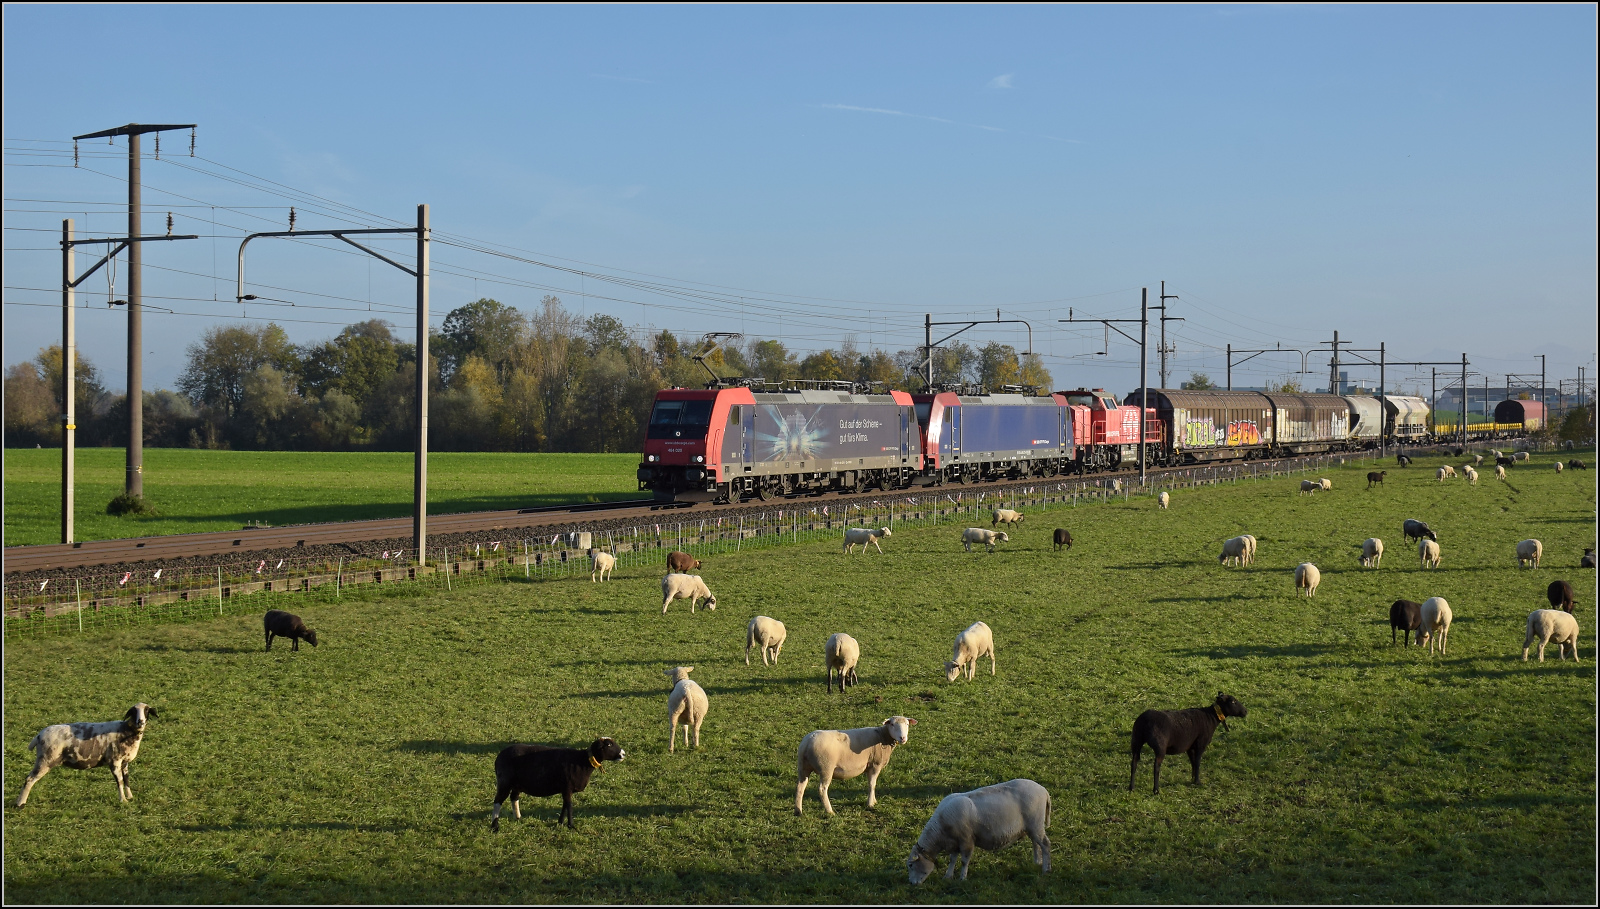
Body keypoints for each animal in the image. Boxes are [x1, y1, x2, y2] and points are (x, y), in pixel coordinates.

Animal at [15, 700, 157, 806]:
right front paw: (123, 800)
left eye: (146, 710)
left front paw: (130, 797)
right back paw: (20, 803)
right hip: (45, 759)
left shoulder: (124, 762)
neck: (126, 731)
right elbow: (120, 781)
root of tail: (39, 736)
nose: (140, 722)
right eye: (133, 711)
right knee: (29, 779)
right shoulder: (115, 760)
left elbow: (126, 779)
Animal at [486, 739, 624, 832]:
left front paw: (560, 823)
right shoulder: (567, 787)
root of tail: (499, 757)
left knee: (514, 798)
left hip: (517, 784)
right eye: (609, 744)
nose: (623, 754)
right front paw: (571, 825)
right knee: (498, 801)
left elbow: (565, 805)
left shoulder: (566, 789)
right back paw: (494, 826)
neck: (583, 761)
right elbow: (569, 806)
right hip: (505, 781)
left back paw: (518, 818)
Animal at [908, 777, 1056, 883]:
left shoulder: (967, 840)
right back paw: (1037, 862)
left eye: (910, 865)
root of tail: (1044, 790)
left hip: (1035, 823)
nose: (911, 884)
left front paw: (962, 878)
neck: (940, 830)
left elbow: (964, 861)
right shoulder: (955, 842)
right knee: (1036, 843)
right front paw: (948, 876)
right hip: (1032, 827)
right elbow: (952, 859)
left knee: (1045, 844)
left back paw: (1046, 869)